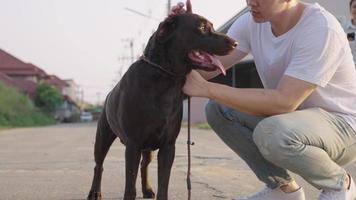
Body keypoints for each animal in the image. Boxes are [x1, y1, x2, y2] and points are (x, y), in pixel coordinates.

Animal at [86, 5, 236, 200]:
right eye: (202, 27)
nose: (235, 43)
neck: (165, 77)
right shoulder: (133, 146)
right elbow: (130, 187)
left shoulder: (168, 146)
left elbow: (163, 184)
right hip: (103, 137)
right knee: (99, 165)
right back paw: (95, 192)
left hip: (147, 148)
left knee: (144, 165)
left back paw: (147, 189)